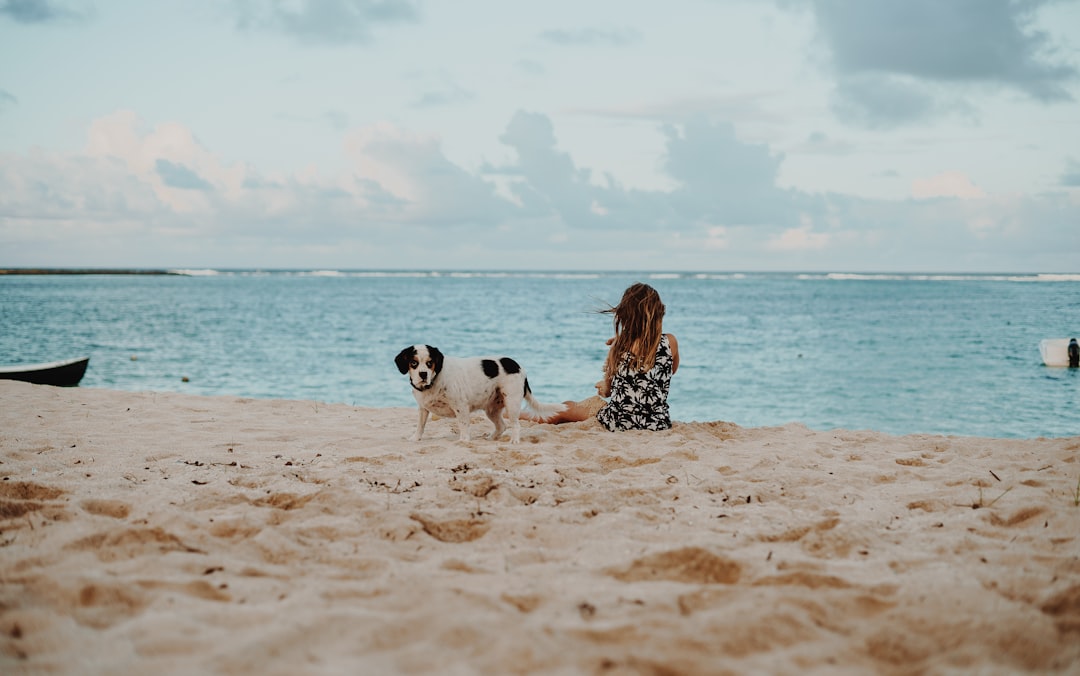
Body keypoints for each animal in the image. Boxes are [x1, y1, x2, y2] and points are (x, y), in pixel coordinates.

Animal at [397, 341, 565, 442]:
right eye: (413, 363)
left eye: (430, 363)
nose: (423, 374)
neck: (434, 379)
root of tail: (519, 367)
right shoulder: (423, 409)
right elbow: (420, 426)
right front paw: (415, 438)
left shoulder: (461, 406)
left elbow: (464, 425)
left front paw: (464, 441)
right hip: (491, 410)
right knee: (502, 426)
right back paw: (490, 438)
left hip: (512, 403)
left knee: (516, 425)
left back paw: (514, 440)